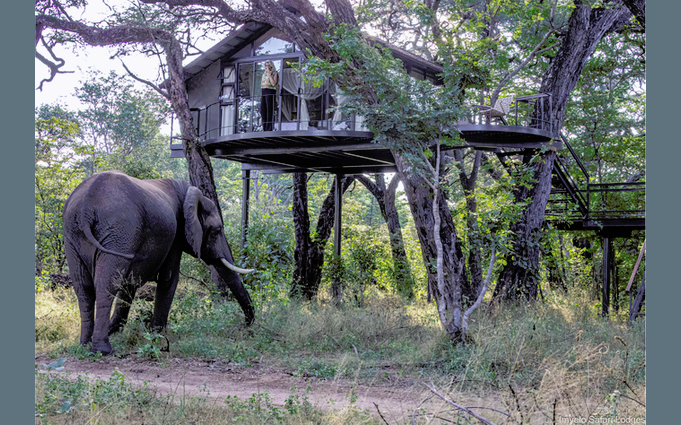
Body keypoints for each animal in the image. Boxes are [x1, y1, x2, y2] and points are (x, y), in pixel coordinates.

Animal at [62, 170, 255, 355]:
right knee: (106, 285)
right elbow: (169, 278)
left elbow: (129, 283)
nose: (246, 326)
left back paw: (84, 346)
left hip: (73, 236)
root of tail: (86, 206)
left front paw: (117, 330)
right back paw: (104, 350)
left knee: (83, 288)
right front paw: (157, 336)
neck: (189, 193)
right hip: (118, 231)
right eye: (216, 231)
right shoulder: (175, 232)